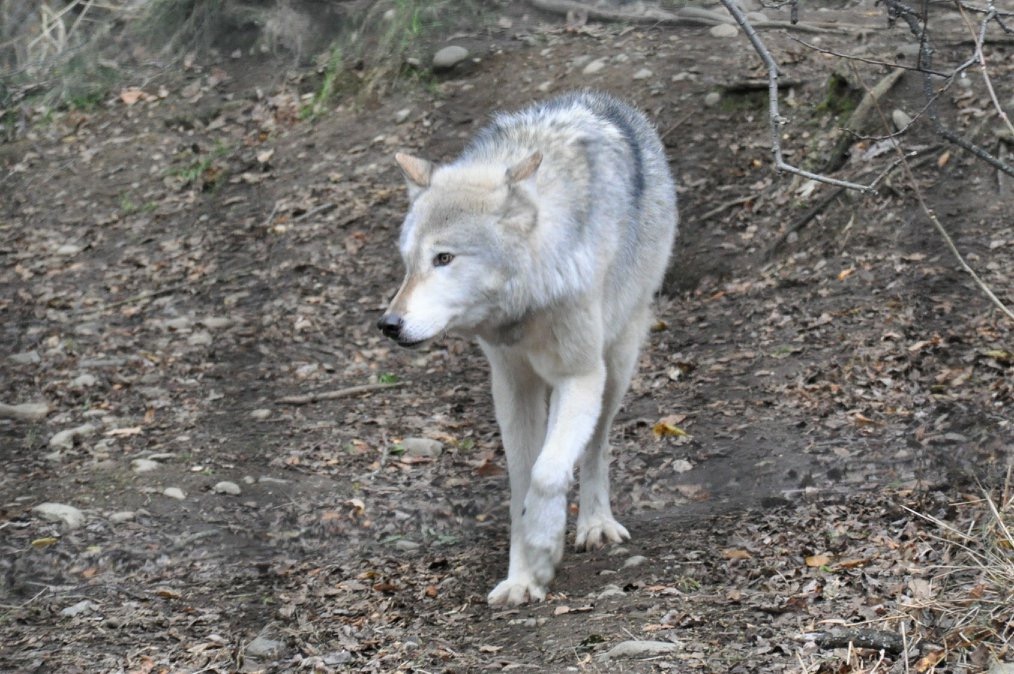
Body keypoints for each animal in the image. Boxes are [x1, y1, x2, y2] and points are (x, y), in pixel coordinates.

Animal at [378, 91, 678, 606]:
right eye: (408, 263)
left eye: (444, 258)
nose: (389, 325)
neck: (527, 304)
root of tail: (609, 102)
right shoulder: (512, 385)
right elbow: (522, 481)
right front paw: (522, 575)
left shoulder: (580, 376)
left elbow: (547, 472)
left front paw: (542, 549)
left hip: (615, 365)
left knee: (596, 445)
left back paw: (594, 523)